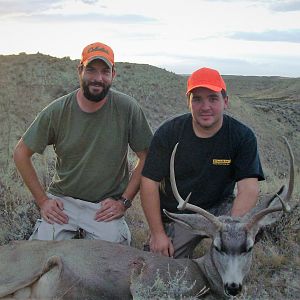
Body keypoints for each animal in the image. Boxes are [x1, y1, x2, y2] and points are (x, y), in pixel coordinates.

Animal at [0, 137, 296, 298]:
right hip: (21, 270)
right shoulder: (146, 284)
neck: (201, 274)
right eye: (217, 246)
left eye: (249, 247)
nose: (234, 287)